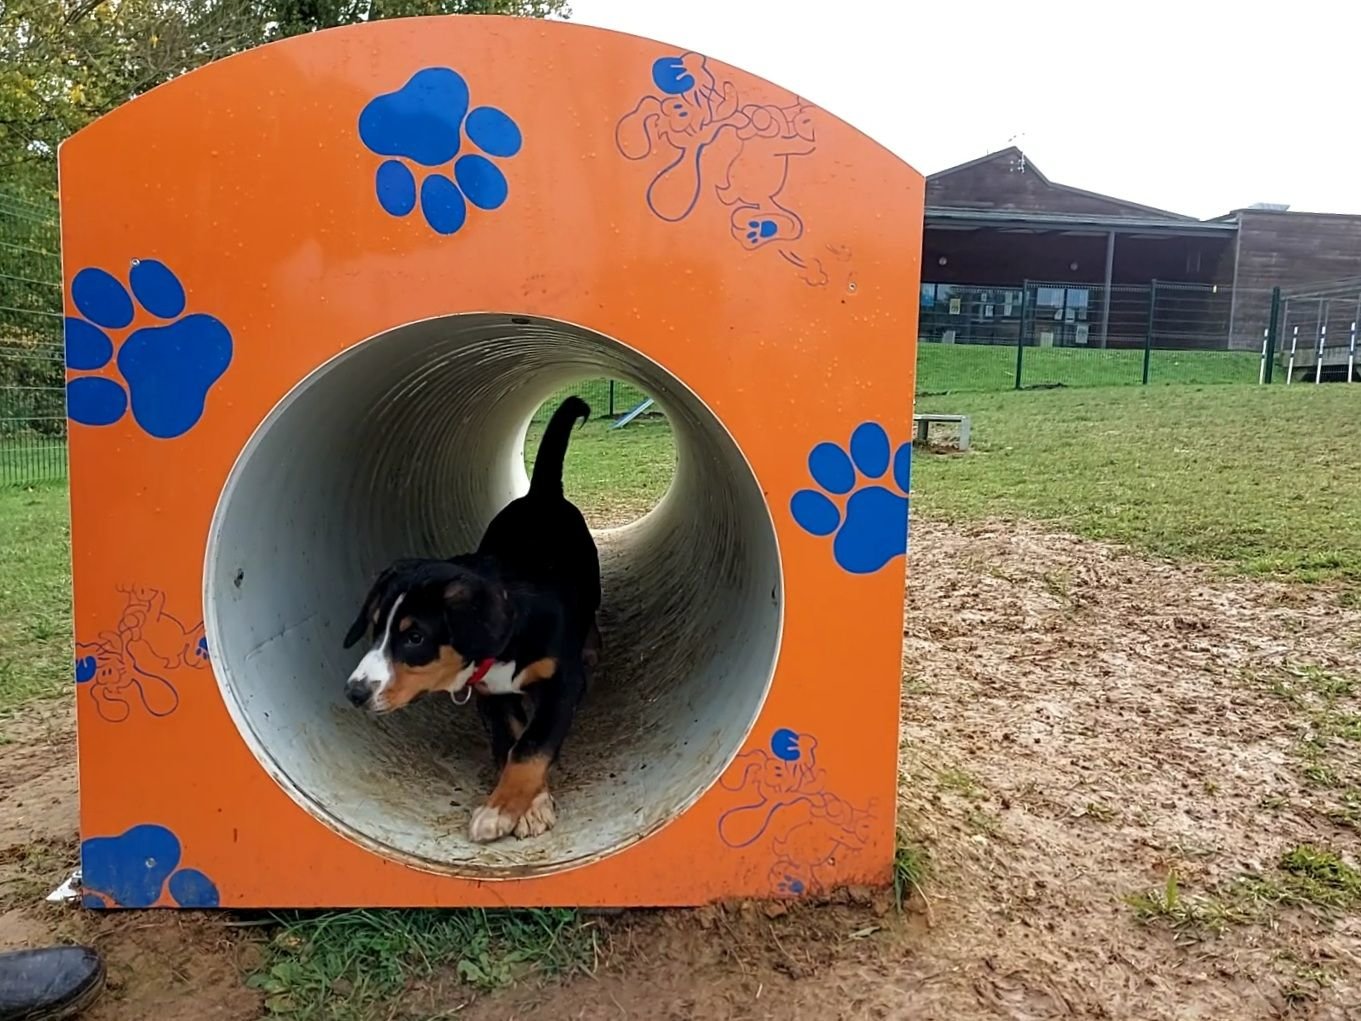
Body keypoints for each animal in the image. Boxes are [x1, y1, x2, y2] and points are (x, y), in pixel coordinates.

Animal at [342, 400, 598, 849]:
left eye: (415, 637)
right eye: (376, 629)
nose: (355, 693)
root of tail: (539, 494)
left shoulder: (564, 683)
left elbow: (531, 746)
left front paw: (499, 812)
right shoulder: (493, 697)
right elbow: (510, 744)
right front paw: (529, 806)